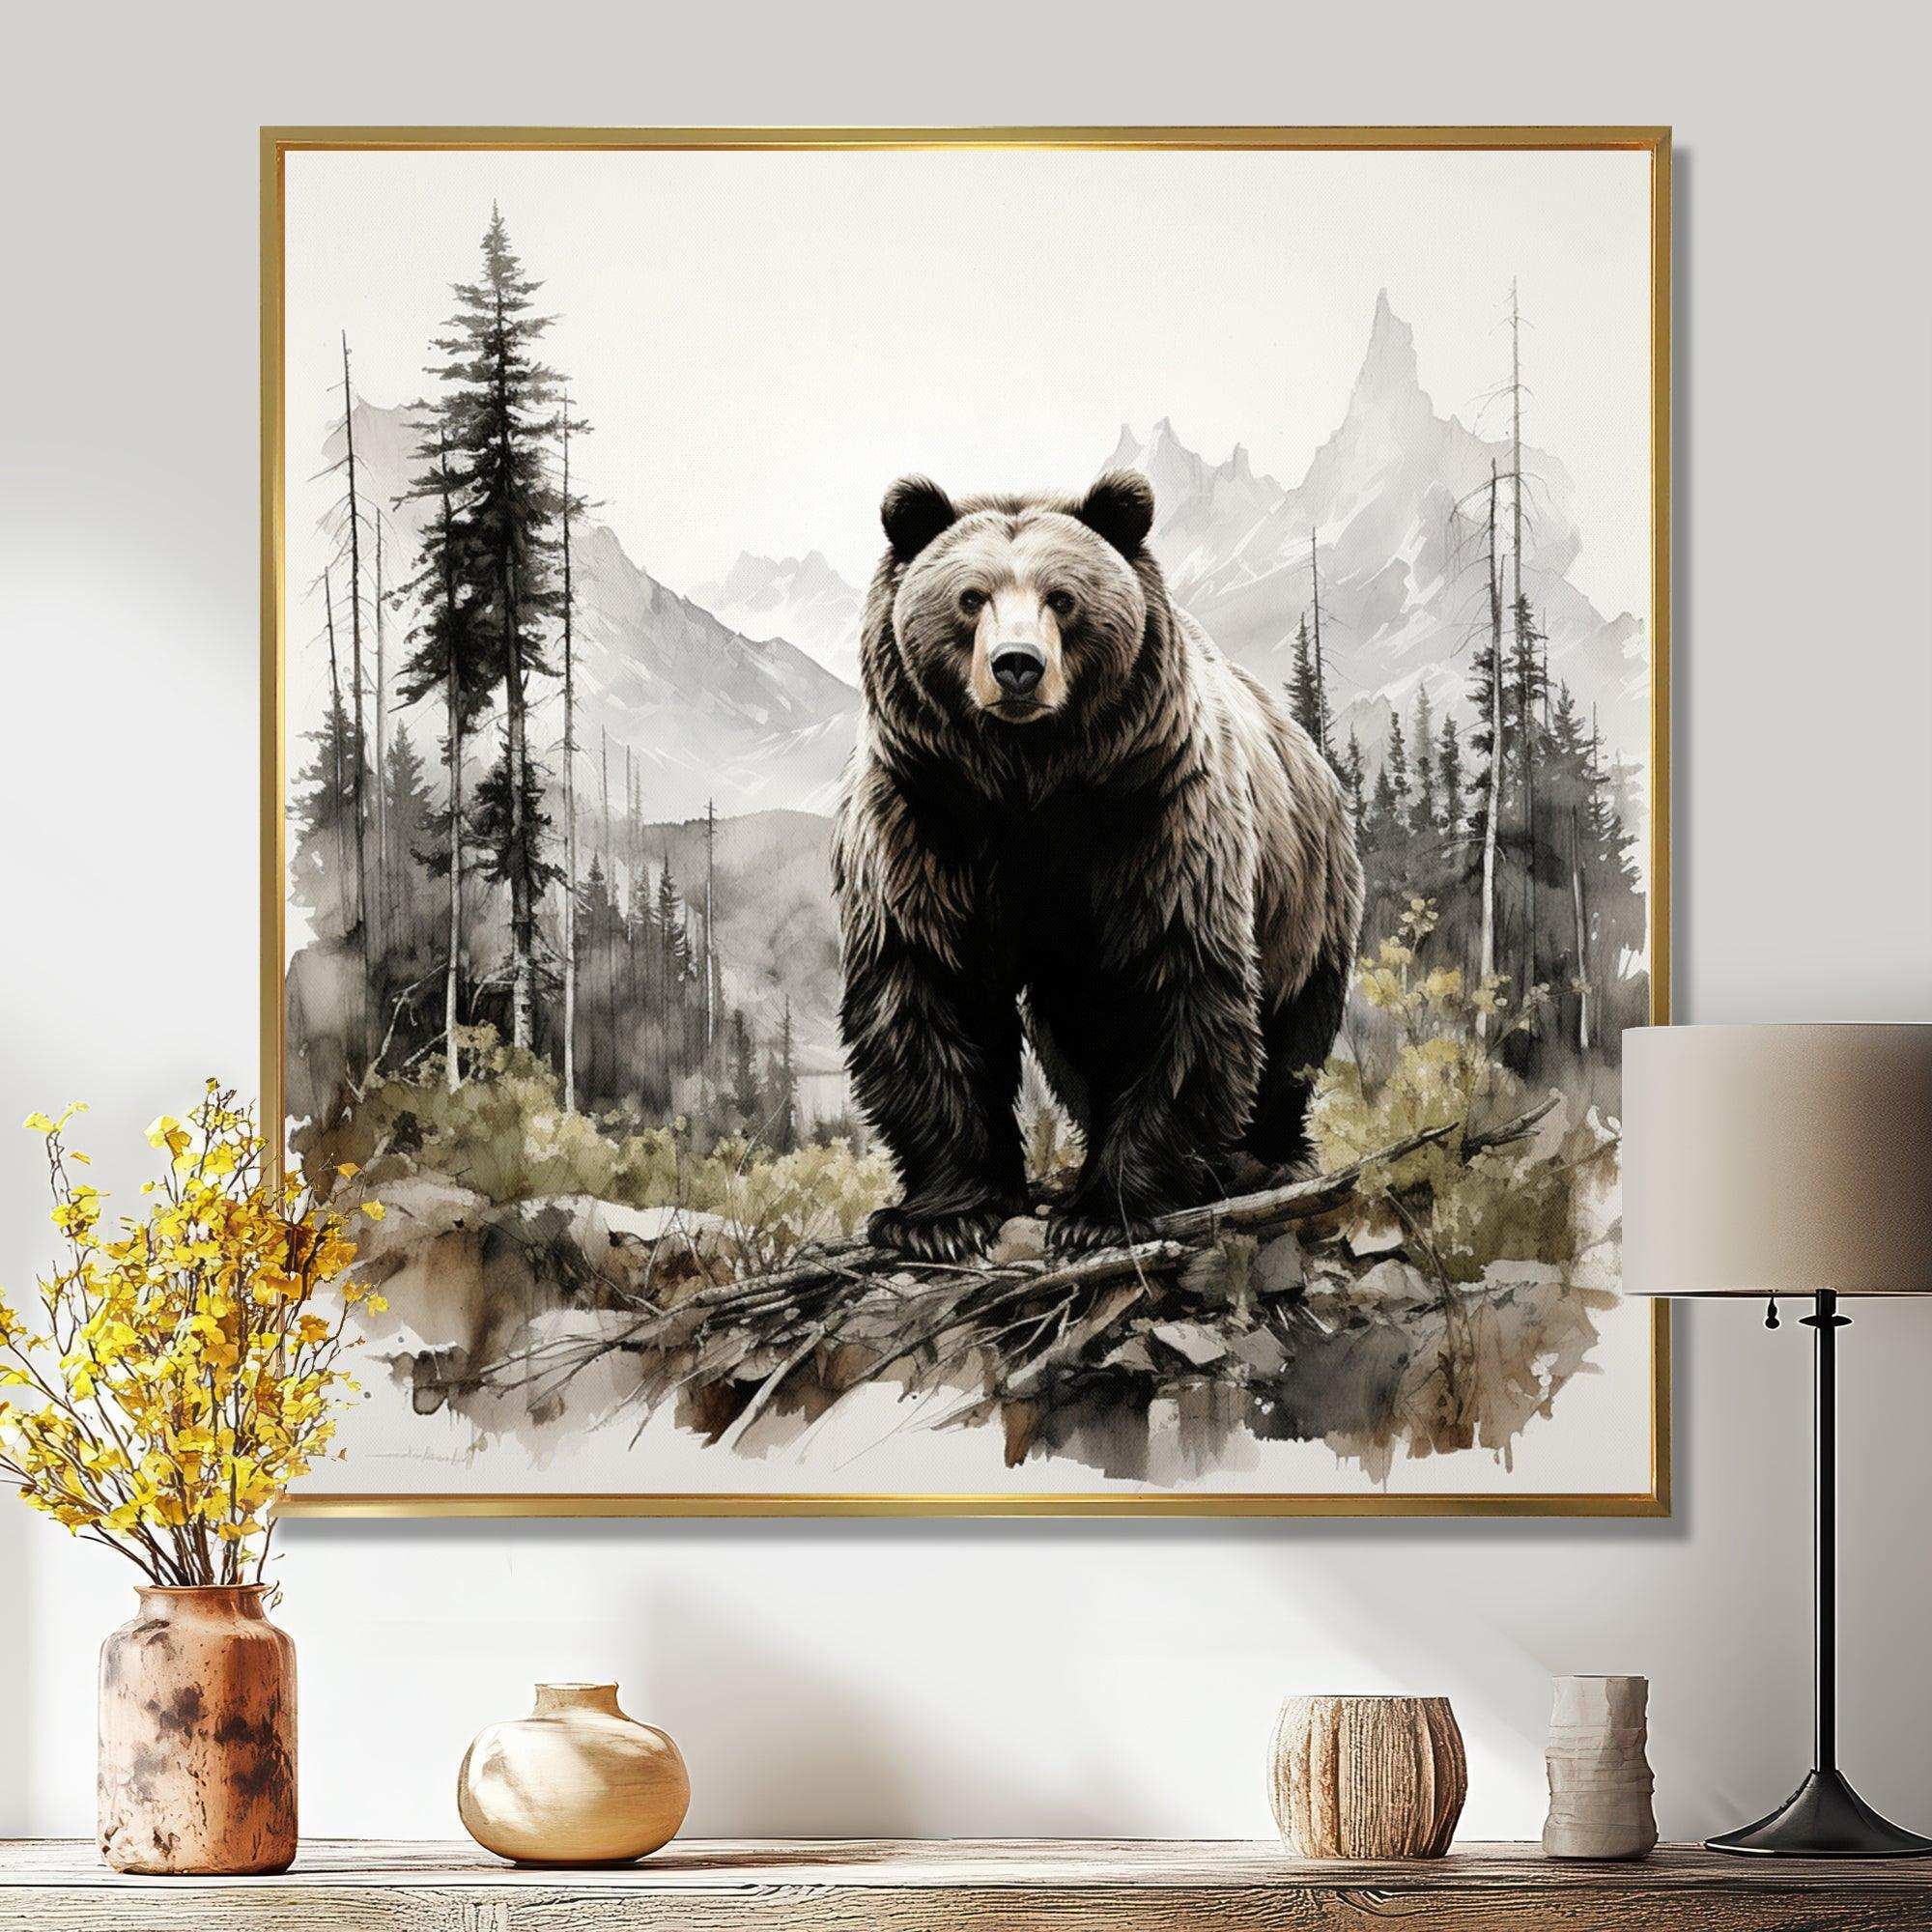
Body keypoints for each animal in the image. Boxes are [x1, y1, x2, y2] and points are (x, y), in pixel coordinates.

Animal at [831, 468, 1364, 1262]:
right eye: (970, 597)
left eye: (1062, 597)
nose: (1017, 665)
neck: (1029, 780)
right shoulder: (923, 819)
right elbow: (926, 984)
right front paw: (940, 1217)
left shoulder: (1154, 817)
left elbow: (1170, 986)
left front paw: (1104, 1209)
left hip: (1306, 889)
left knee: (1293, 1029)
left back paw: (1264, 1158)